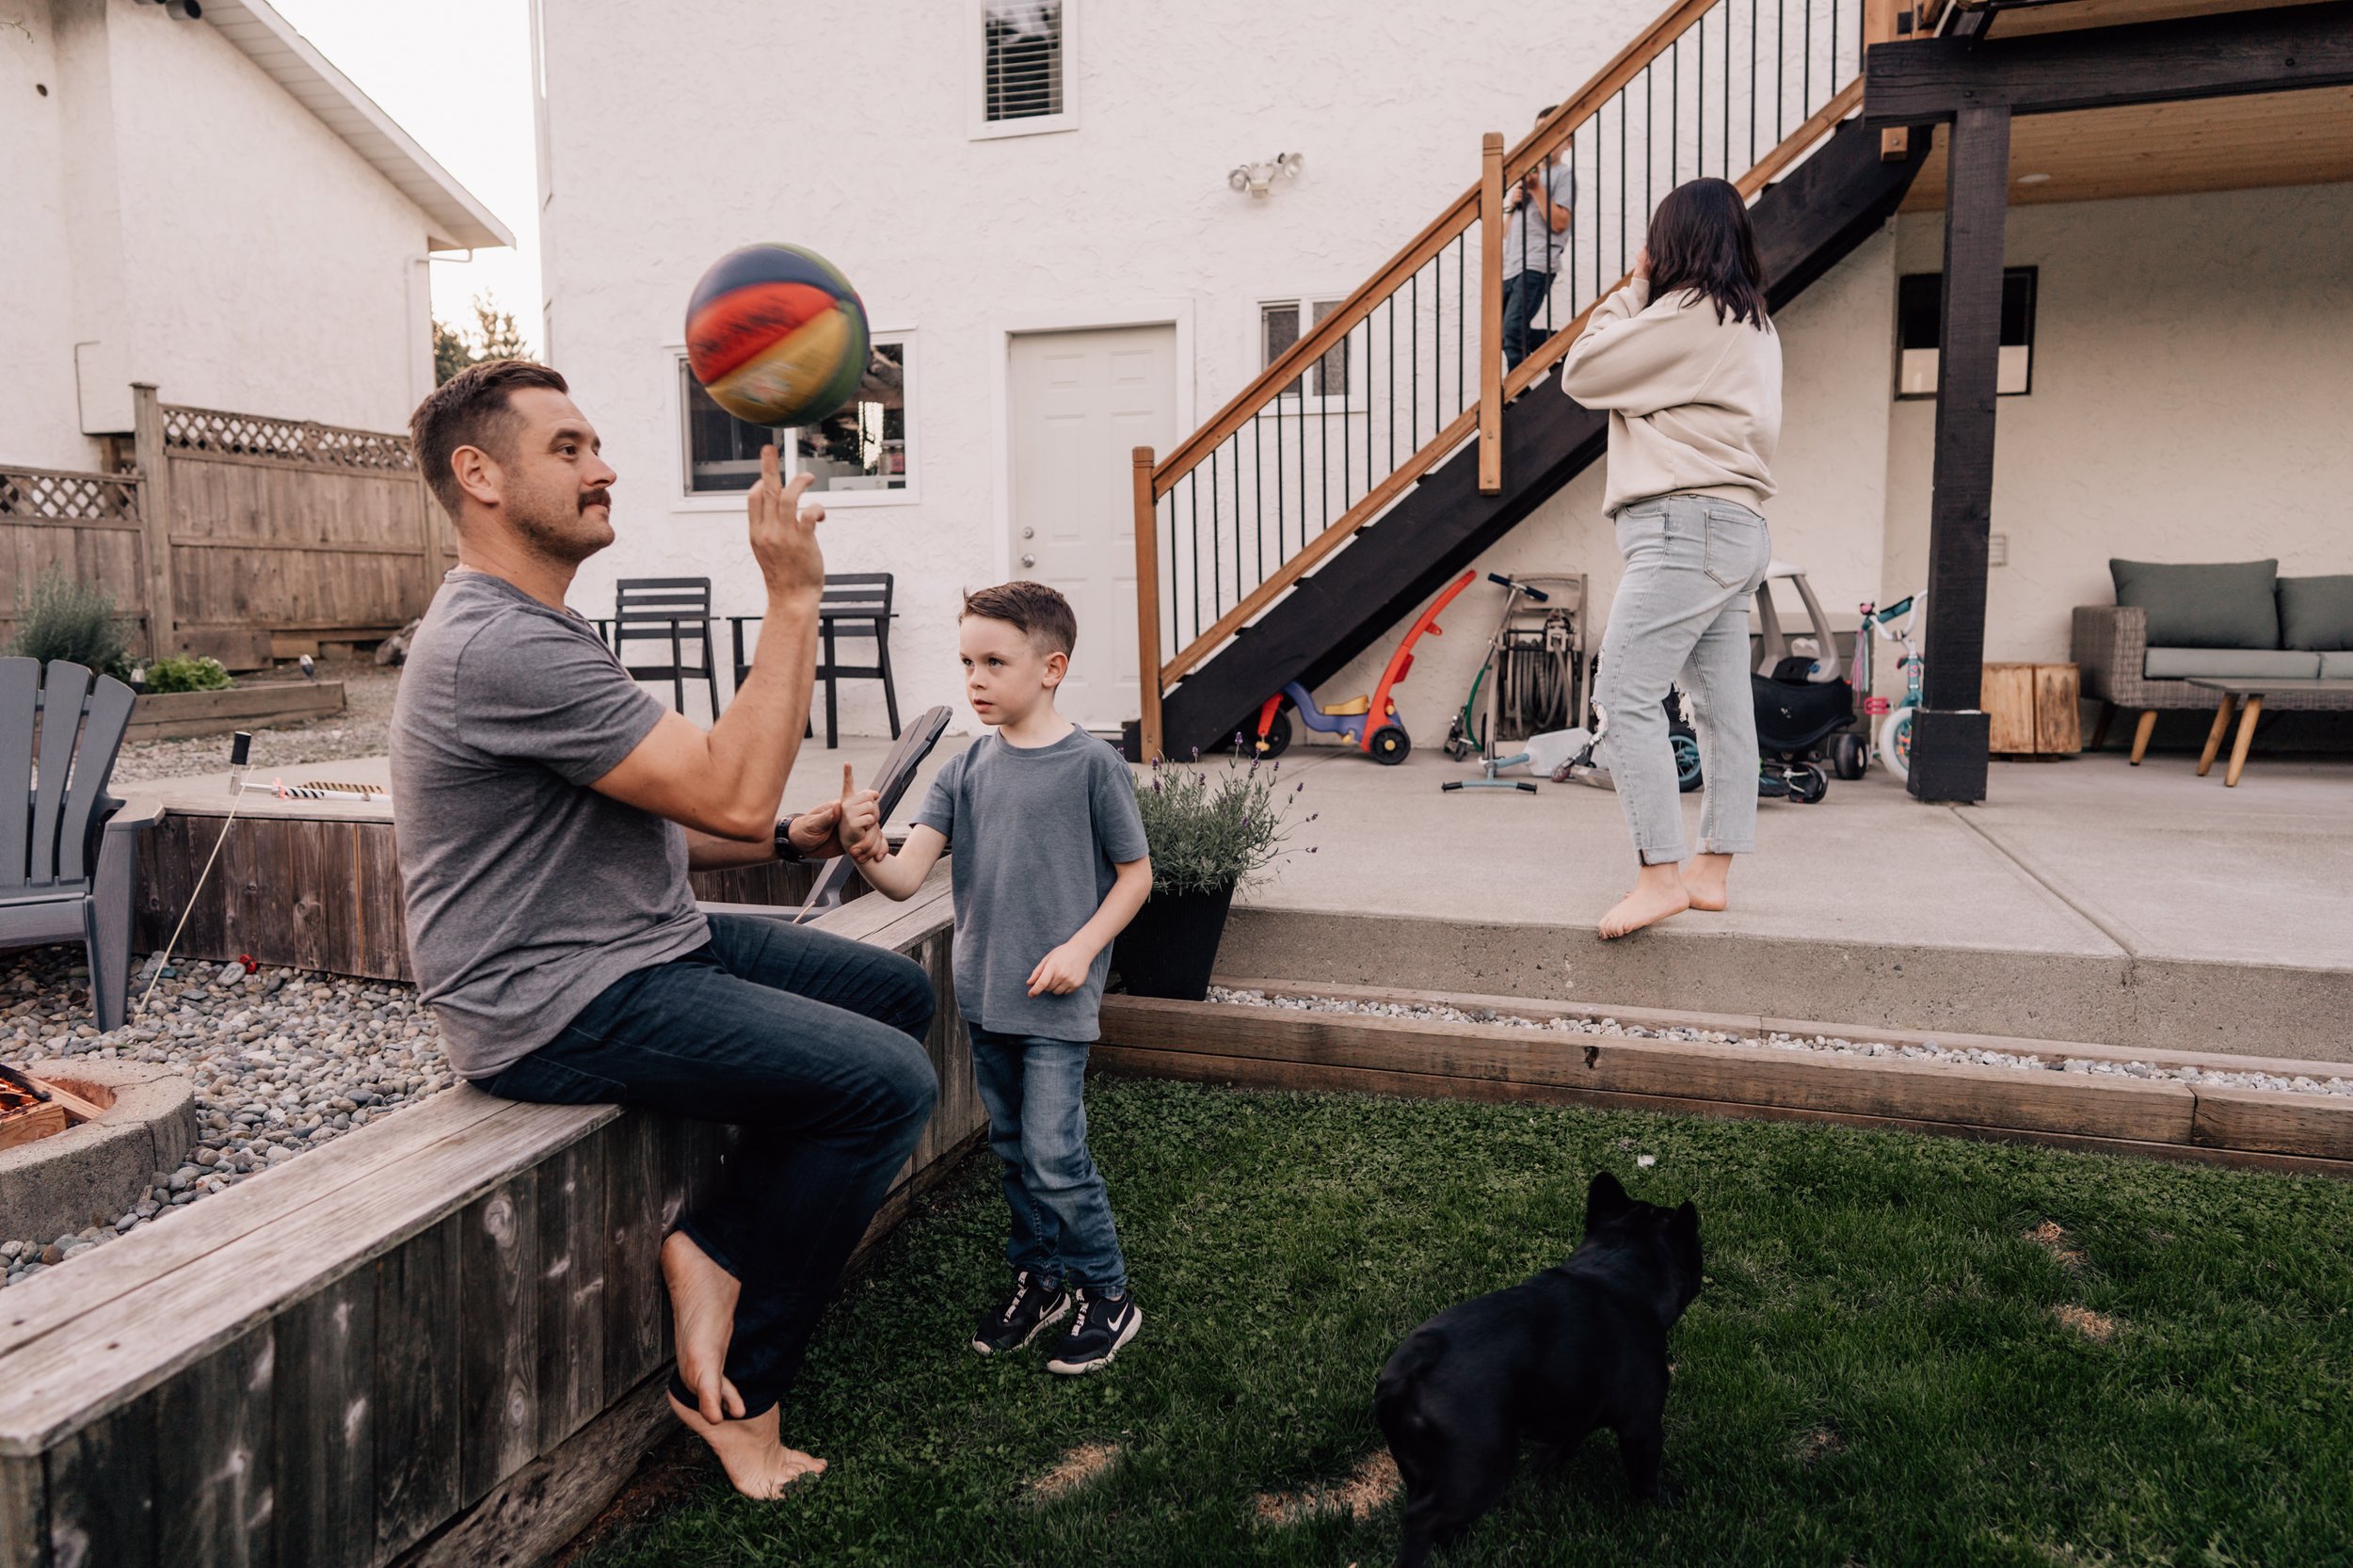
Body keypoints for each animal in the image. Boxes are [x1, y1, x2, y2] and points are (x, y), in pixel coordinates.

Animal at [1374, 1167, 1704, 1553]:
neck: (1618, 1273)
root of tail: (1407, 1376)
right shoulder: (1642, 1424)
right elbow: (1646, 1474)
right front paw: (1667, 1502)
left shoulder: (1575, 1408)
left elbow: (1558, 1446)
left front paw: (1540, 1474)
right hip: (1478, 1469)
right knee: (1422, 1517)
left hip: (1419, 1464)